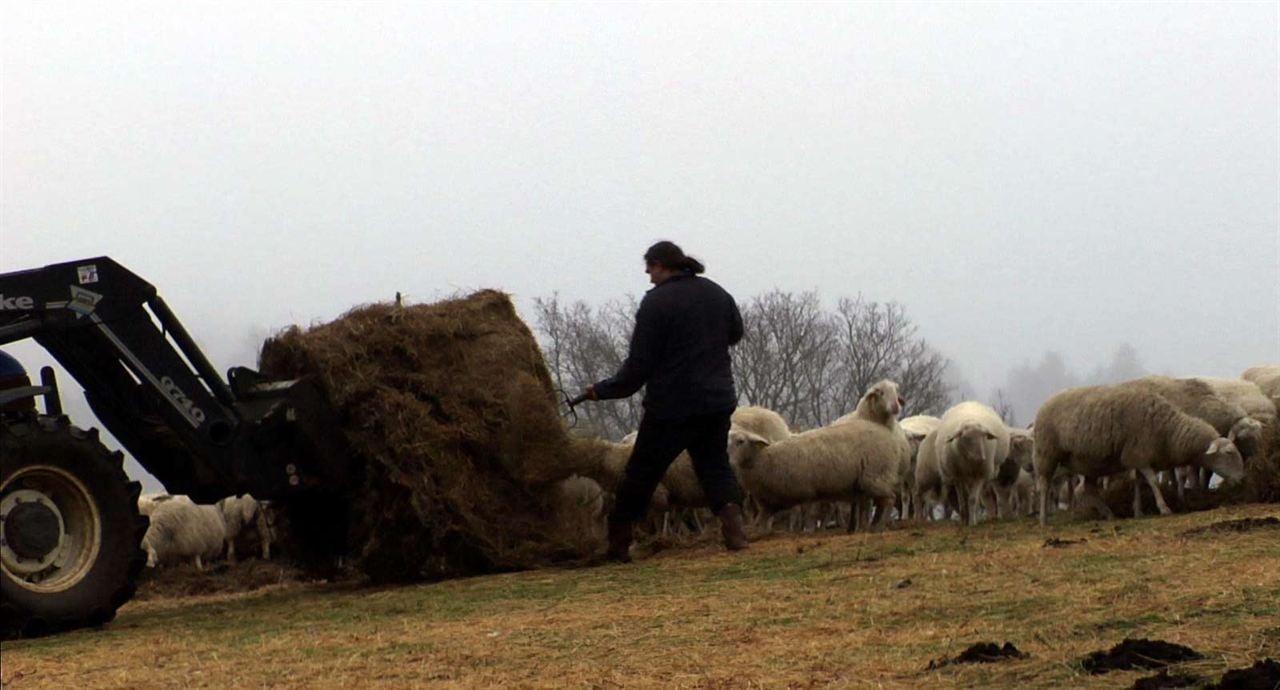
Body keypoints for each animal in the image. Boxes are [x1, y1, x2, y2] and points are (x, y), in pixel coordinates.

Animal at [727, 414, 906, 535]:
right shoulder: (767, 500)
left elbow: (807, 513)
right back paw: (872, 525)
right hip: (871, 480)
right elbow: (762, 517)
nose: (729, 462)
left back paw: (879, 526)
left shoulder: (806, 492)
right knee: (879, 502)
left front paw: (808, 529)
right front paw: (755, 530)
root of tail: (887, 433)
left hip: (875, 476)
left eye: (741, 441)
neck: (762, 458)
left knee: (889, 499)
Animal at [1034, 386, 1244, 527]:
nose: (1242, 479)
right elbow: (1152, 481)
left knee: (1088, 489)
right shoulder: (1139, 454)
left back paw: (1109, 514)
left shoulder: (1137, 457)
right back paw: (1043, 520)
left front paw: (1138, 511)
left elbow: (1139, 483)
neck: (1169, 431)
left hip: (1090, 463)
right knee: (1044, 485)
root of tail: (1045, 403)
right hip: (1047, 453)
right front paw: (1164, 508)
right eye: (1228, 453)